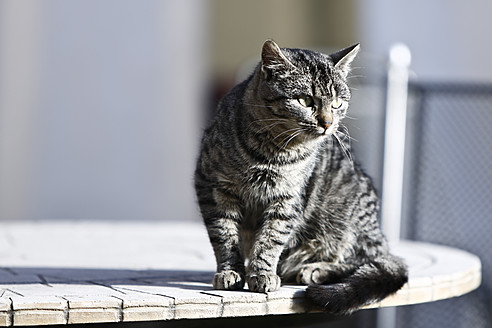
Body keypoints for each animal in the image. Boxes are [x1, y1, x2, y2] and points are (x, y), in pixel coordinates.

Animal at [193, 41, 408, 316]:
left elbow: (270, 239)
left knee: (365, 260)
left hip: (347, 220)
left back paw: (315, 269)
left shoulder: (288, 199)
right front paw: (230, 271)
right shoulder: (214, 188)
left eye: (337, 103)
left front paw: (262, 272)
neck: (271, 154)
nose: (327, 123)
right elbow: (224, 236)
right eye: (305, 100)